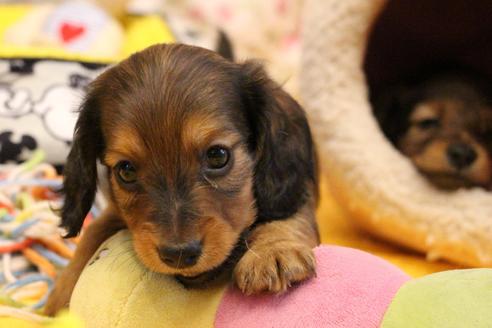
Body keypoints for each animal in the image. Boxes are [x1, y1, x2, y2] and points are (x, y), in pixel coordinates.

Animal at [45, 43, 320, 316]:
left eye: (218, 156)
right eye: (126, 170)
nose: (178, 255)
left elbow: (292, 215)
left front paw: (273, 250)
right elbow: (93, 231)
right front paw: (59, 298)